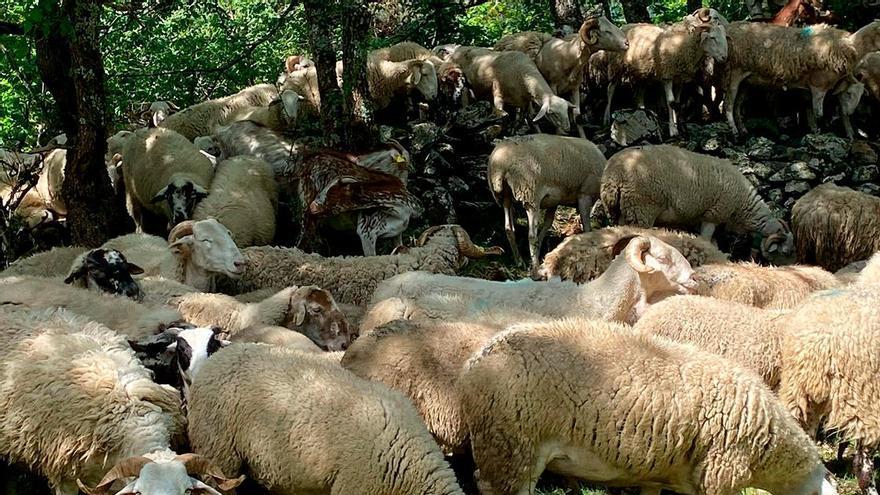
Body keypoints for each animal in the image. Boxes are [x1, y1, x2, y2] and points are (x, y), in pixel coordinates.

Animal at [488, 134, 606, 271]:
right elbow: (587, 228)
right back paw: (535, 266)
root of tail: (501, 164)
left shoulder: (553, 201)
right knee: (531, 235)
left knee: (508, 228)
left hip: (503, 195)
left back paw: (520, 261)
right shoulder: (584, 195)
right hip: (531, 194)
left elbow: (548, 223)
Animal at [495, 15, 629, 137]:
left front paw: (584, 139)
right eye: (606, 31)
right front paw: (560, 136)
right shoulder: (553, 87)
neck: (567, 55)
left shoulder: (574, 88)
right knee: (530, 115)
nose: (627, 43)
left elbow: (577, 116)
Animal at [595, 18, 728, 136]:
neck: (683, 45)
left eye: (724, 37)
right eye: (712, 37)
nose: (724, 57)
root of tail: (624, 26)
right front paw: (673, 130)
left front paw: (679, 126)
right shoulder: (667, 75)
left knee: (638, 95)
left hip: (642, 72)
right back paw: (606, 119)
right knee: (610, 89)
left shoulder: (680, 78)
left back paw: (643, 111)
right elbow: (670, 101)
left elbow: (677, 103)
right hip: (616, 65)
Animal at [600, 144, 793, 258]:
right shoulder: (713, 214)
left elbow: (713, 243)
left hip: (620, 209)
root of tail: (614, 174)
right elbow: (706, 240)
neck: (743, 206)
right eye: (786, 253)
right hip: (641, 209)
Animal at [723, 20, 880, 138]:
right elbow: (818, 113)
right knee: (729, 104)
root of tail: (729, 28)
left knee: (737, 105)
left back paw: (742, 130)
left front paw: (813, 130)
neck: (849, 45)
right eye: (849, 94)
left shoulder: (809, 88)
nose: (849, 113)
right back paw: (734, 130)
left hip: (746, 81)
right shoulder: (818, 86)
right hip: (734, 72)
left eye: (860, 96)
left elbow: (808, 108)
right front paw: (821, 134)